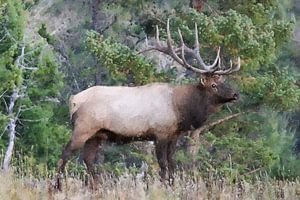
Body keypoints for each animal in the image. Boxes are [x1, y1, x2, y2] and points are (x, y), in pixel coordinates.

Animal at [54, 19, 241, 190]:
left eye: (222, 80)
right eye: (213, 85)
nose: (235, 94)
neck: (180, 109)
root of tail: (73, 100)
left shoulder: (174, 135)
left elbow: (171, 163)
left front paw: (173, 186)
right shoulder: (159, 133)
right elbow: (163, 164)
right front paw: (162, 186)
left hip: (97, 134)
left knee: (88, 159)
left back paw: (97, 187)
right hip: (83, 128)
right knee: (65, 154)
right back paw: (58, 186)